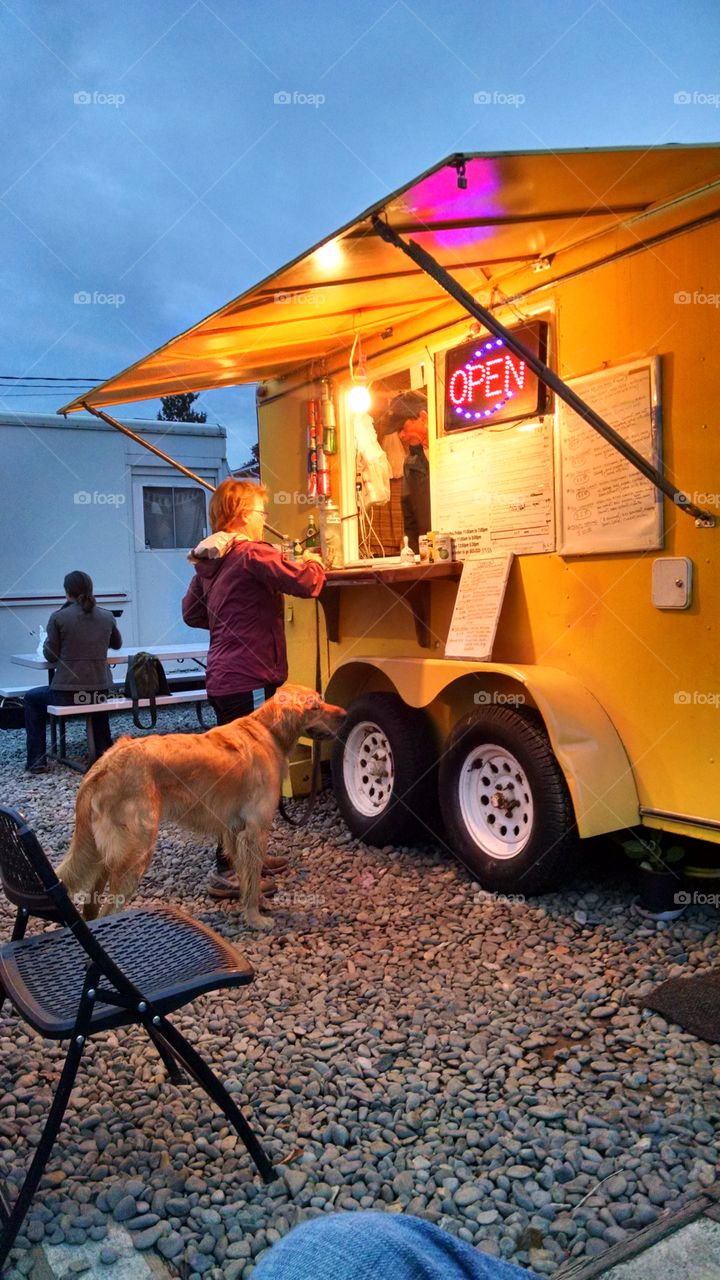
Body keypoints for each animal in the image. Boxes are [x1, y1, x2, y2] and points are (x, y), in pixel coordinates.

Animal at [57, 686, 343, 926]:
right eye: (315, 707)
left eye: (321, 701)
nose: (345, 714)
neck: (267, 731)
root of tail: (104, 763)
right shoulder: (254, 832)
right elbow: (253, 879)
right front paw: (255, 918)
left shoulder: (234, 833)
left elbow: (248, 878)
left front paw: (257, 904)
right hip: (135, 851)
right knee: (108, 911)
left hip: (105, 853)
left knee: (91, 906)